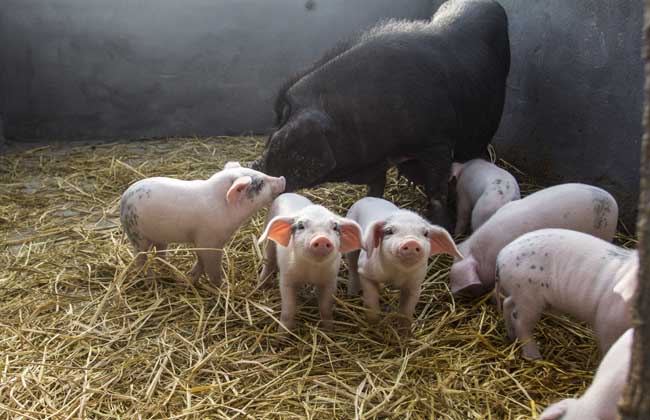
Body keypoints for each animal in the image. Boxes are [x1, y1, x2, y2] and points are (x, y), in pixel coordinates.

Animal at [251, 0, 508, 226]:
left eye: (277, 136)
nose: (254, 166)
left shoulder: (438, 141)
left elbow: (436, 192)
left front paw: (442, 225)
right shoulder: (377, 158)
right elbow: (376, 187)